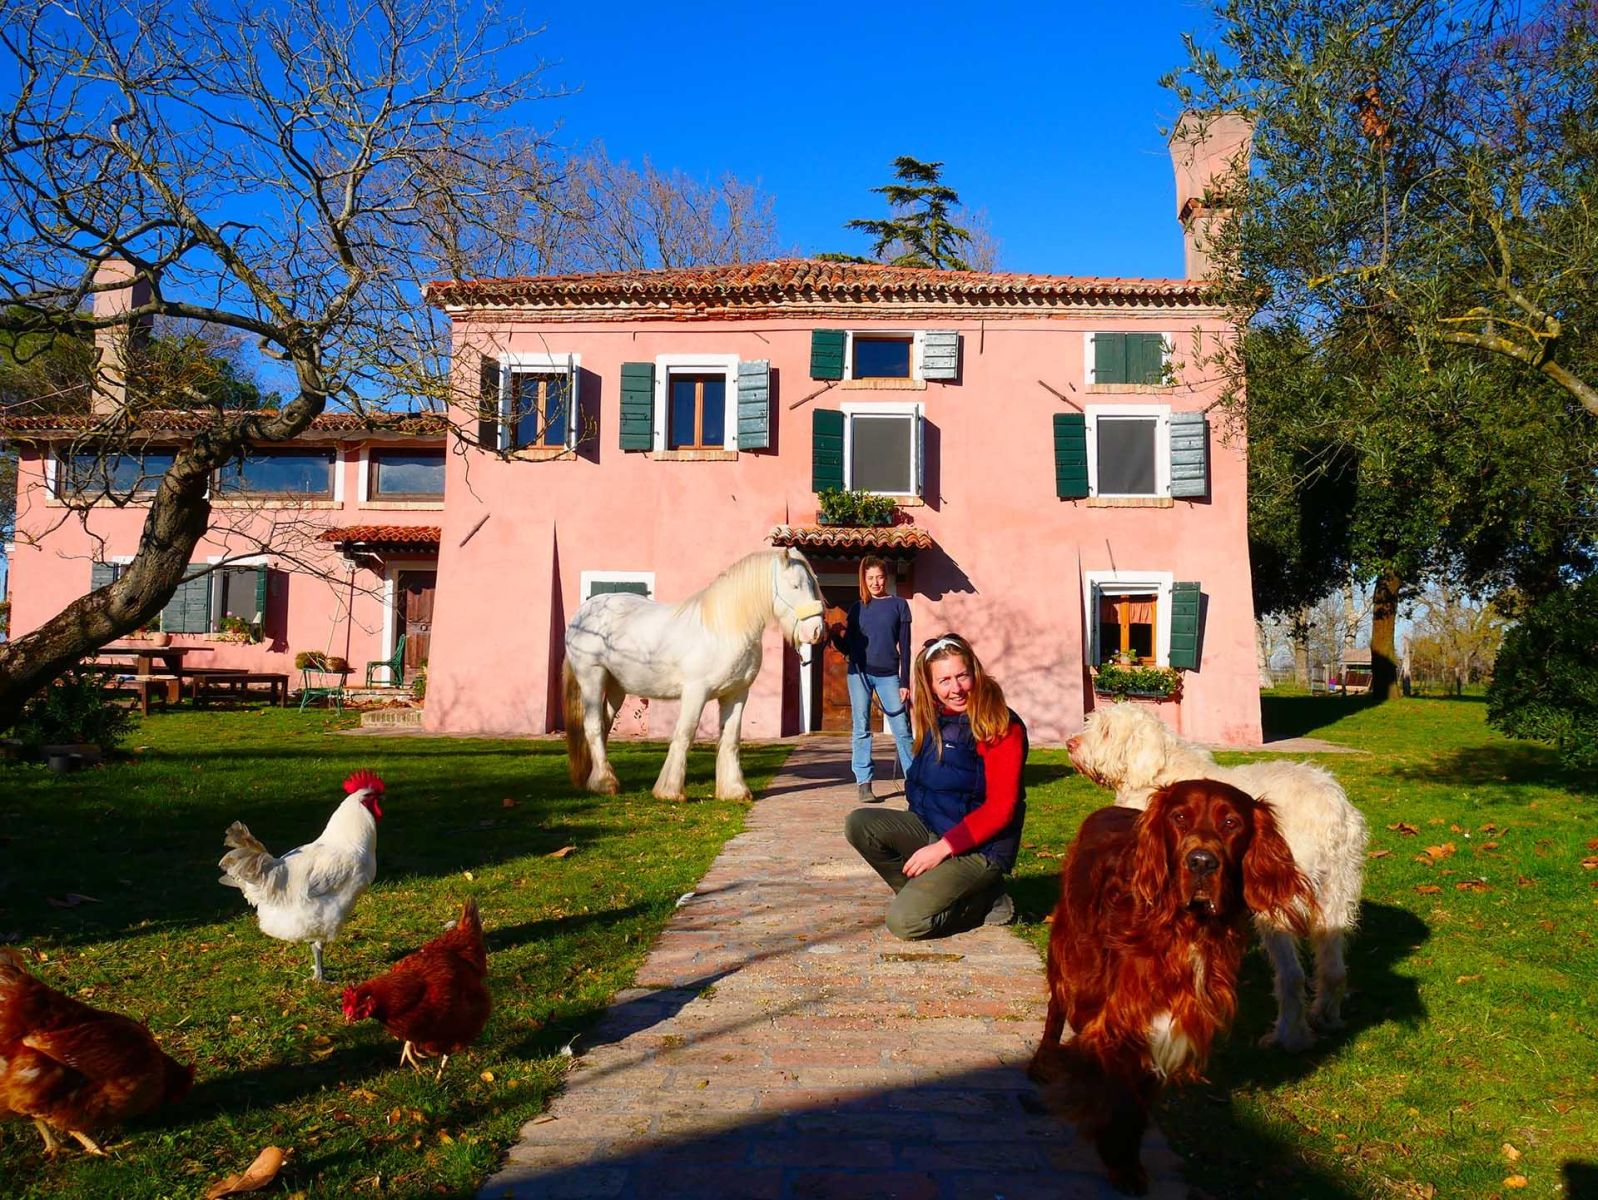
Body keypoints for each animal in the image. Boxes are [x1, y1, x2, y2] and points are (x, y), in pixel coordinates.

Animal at [565, 549, 824, 802]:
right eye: (795, 586)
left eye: (813, 584)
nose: (816, 631)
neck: (724, 629)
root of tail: (583, 614)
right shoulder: (695, 692)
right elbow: (685, 733)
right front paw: (669, 791)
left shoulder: (736, 694)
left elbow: (730, 738)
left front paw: (734, 790)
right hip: (592, 678)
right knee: (594, 726)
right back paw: (604, 783)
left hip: (616, 687)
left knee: (605, 725)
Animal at [1029, 779, 1316, 1195]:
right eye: (1179, 817)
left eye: (1231, 823)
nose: (1202, 862)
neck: (1183, 930)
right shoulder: (1116, 1022)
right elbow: (1118, 1093)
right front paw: (1116, 1157)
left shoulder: (1164, 1029)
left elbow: (1137, 1104)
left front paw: (1126, 1162)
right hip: (1068, 952)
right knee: (1057, 1007)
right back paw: (1041, 1062)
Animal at [1067, 703, 1367, 1048]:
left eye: (1106, 731)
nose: (1070, 745)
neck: (1155, 771)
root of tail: (1332, 810)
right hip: (1336, 898)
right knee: (1333, 969)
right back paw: (1326, 1018)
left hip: (1277, 907)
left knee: (1292, 976)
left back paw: (1288, 1036)